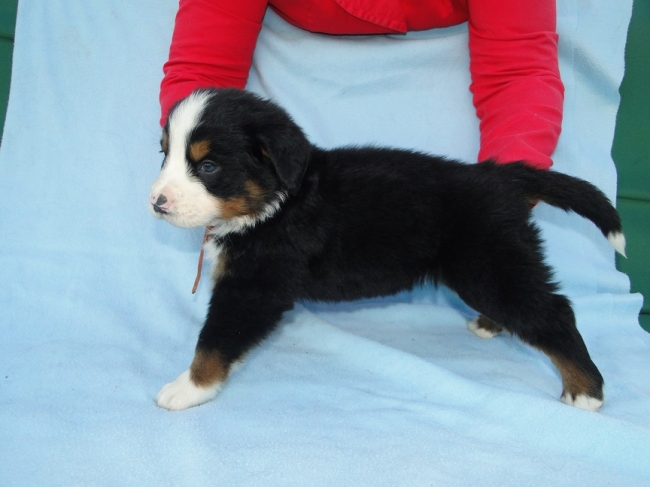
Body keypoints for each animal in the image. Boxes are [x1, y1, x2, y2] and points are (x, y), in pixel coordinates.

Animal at [149, 88, 625, 412]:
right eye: (165, 155)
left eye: (208, 166)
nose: (157, 202)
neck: (275, 204)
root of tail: (502, 175)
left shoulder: (252, 288)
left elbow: (214, 342)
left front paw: (187, 388)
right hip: (494, 265)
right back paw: (491, 325)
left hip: (489, 264)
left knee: (554, 312)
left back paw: (585, 390)